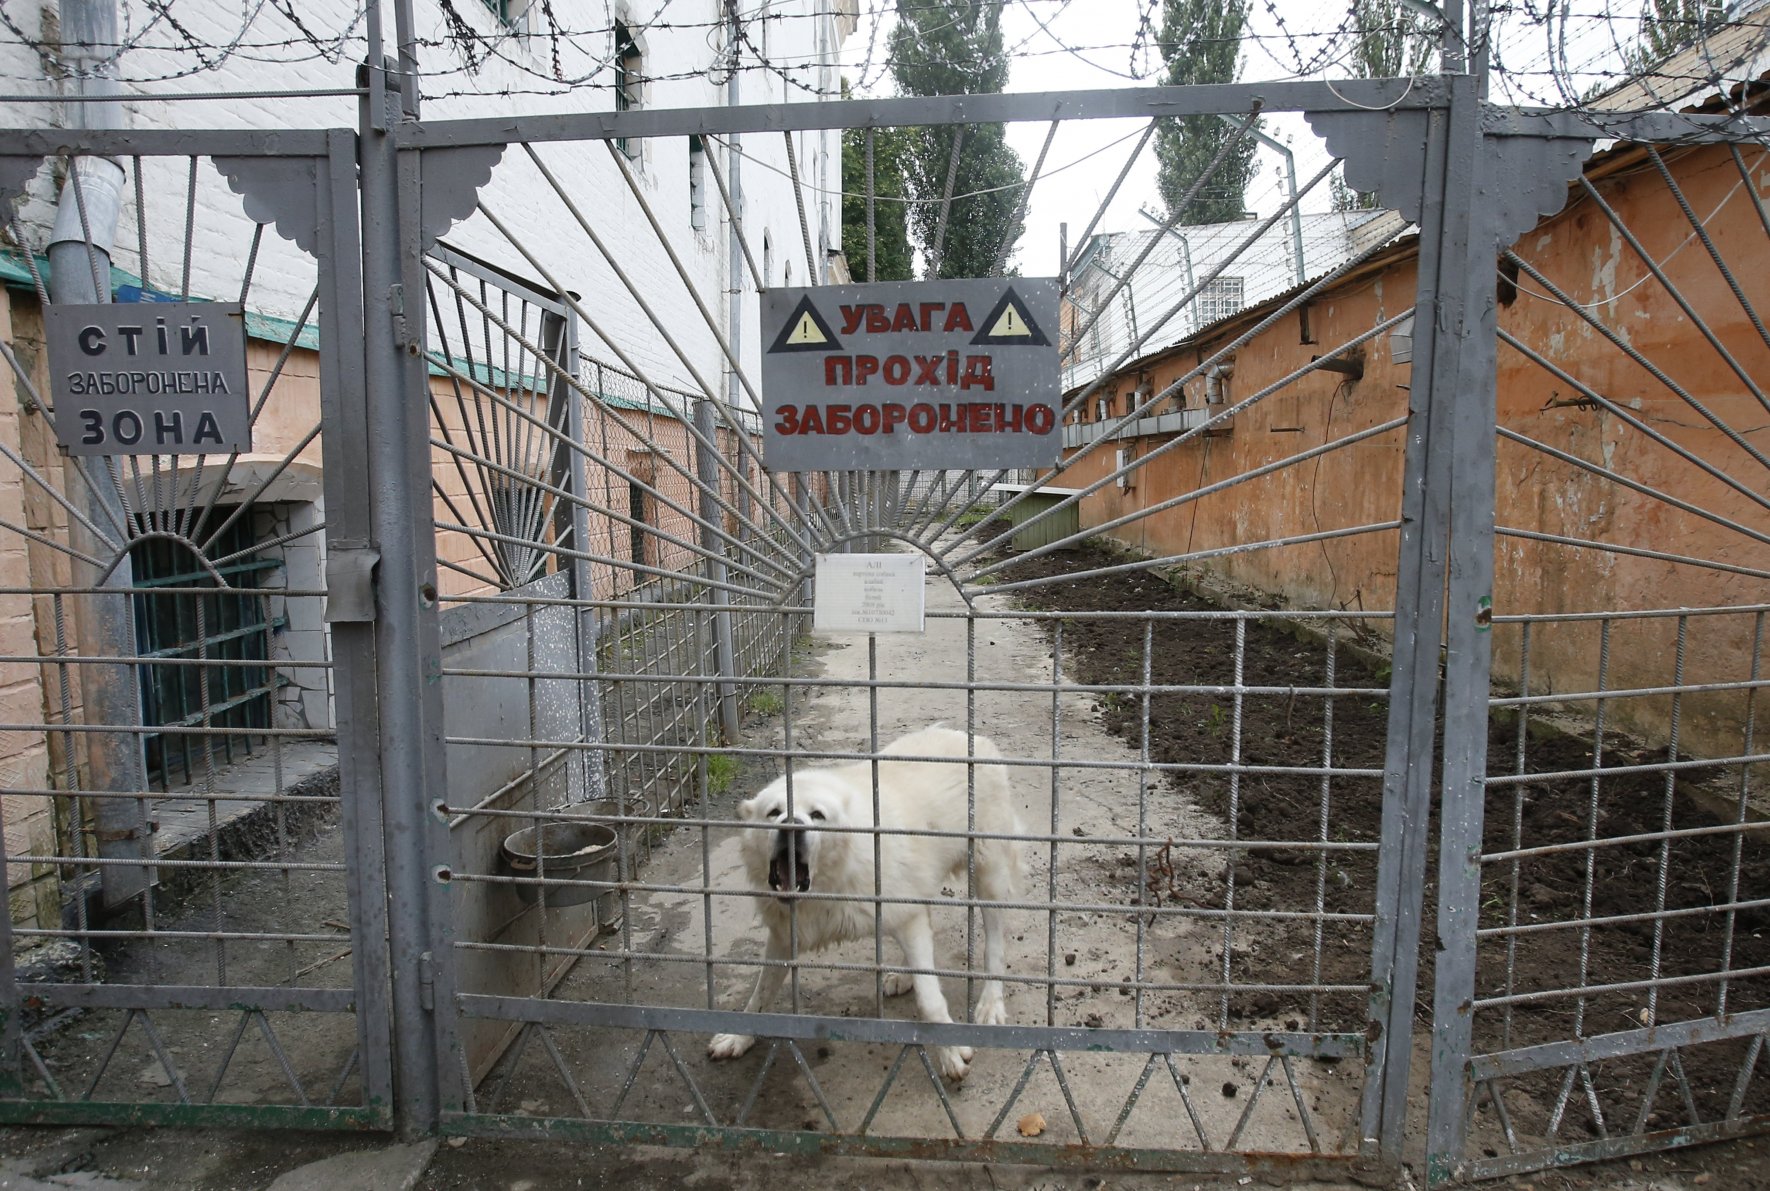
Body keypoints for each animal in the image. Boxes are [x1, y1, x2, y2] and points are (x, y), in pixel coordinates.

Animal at [708, 725, 1026, 1075]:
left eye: (817, 815)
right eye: (774, 813)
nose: (791, 826)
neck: (829, 884)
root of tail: (967, 735)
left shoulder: (906, 917)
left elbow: (930, 1001)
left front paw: (951, 1052)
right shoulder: (784, 935)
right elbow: (760, 994)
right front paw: (738, 1037)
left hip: (988, 876)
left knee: (994, 946)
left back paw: (990, 1003)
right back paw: (904, 976)